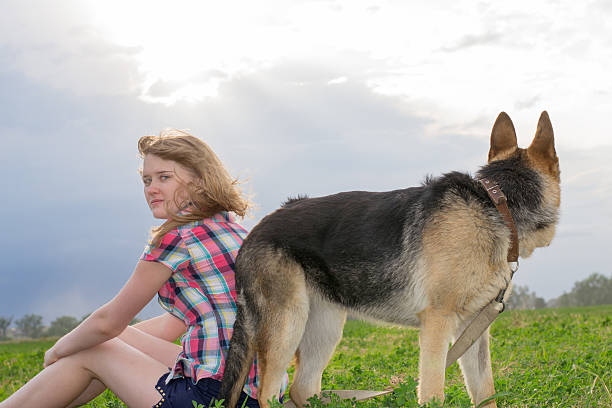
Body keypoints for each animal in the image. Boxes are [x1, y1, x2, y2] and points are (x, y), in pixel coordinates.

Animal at [219, 111, 560, 408]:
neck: (496, 203)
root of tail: (255, 231)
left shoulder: (473, 330)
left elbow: (485, 393)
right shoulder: (437, 324)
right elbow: (433, 393)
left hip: (324, 328)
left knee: (303, 388)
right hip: (287, 325)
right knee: (267, 393)